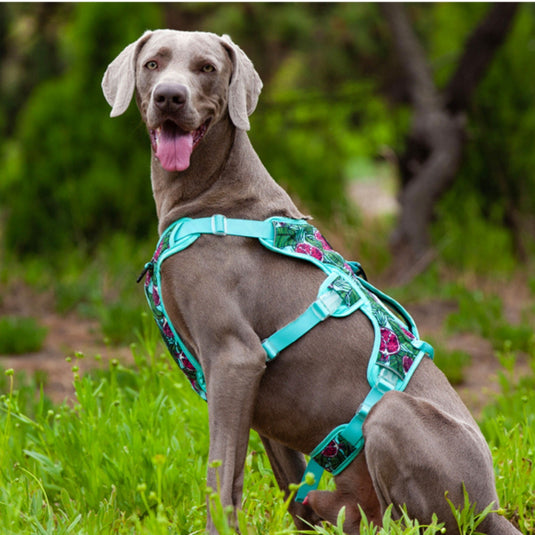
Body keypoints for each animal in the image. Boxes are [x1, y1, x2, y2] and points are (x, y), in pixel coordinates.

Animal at [101, 30, 524, 535]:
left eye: (206, 68)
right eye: (152, 64)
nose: (169, 96)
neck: (211, 194)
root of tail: (491, 508)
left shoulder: (234, 357)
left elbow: (219, 476)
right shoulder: (256, 390)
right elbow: (280, 484)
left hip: (394, 415)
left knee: (407, 521)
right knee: (333, 505)